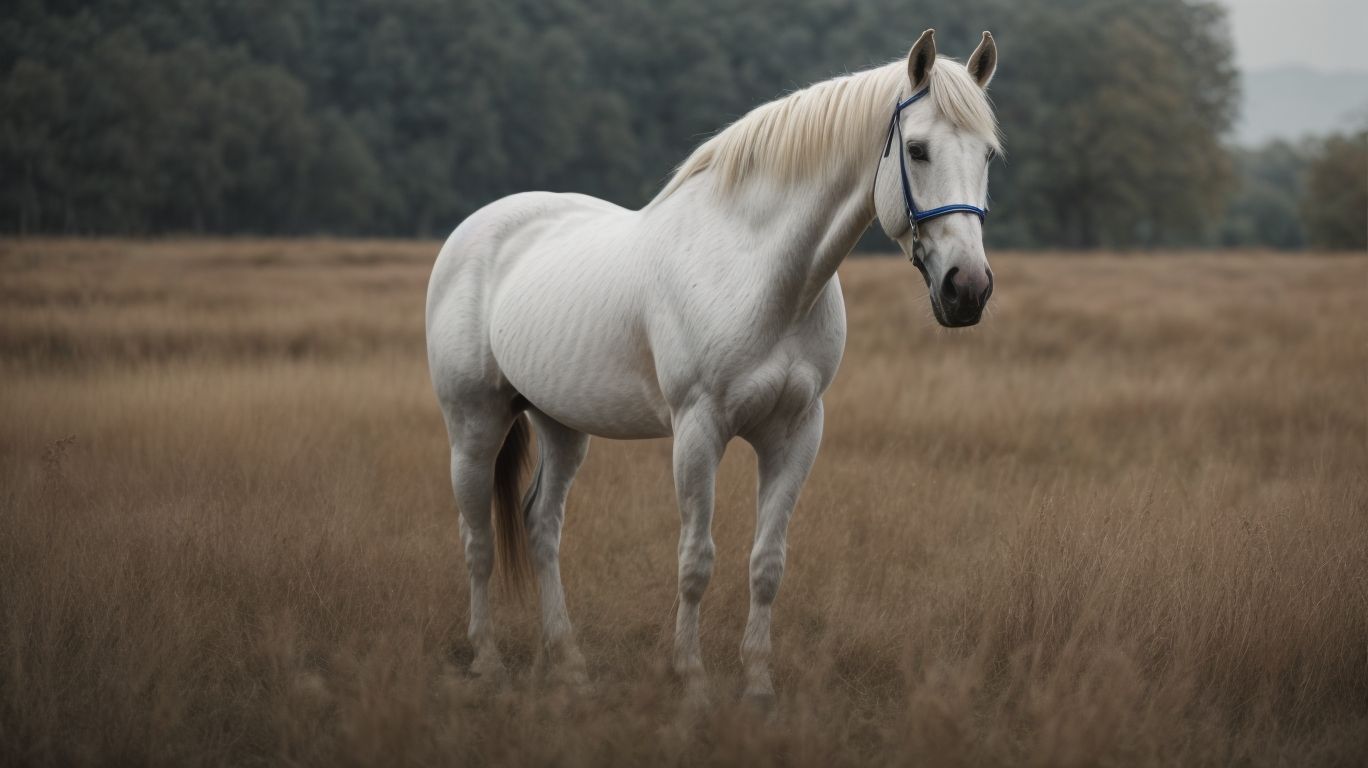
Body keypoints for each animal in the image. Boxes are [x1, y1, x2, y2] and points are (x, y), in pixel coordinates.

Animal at [425, 28, 1001, 703]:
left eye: (988, 155)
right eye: (917, 149)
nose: (968, 289)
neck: (759, 274)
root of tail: (474, 229)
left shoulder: (796, 433)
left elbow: (767, 563)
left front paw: (757, 684)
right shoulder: (698, 430)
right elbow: (696, 560)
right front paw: (692, 680)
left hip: (561, 425)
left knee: (541, 527)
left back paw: (568, 663)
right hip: (474, 423)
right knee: (478, 541)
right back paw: (488, 660)